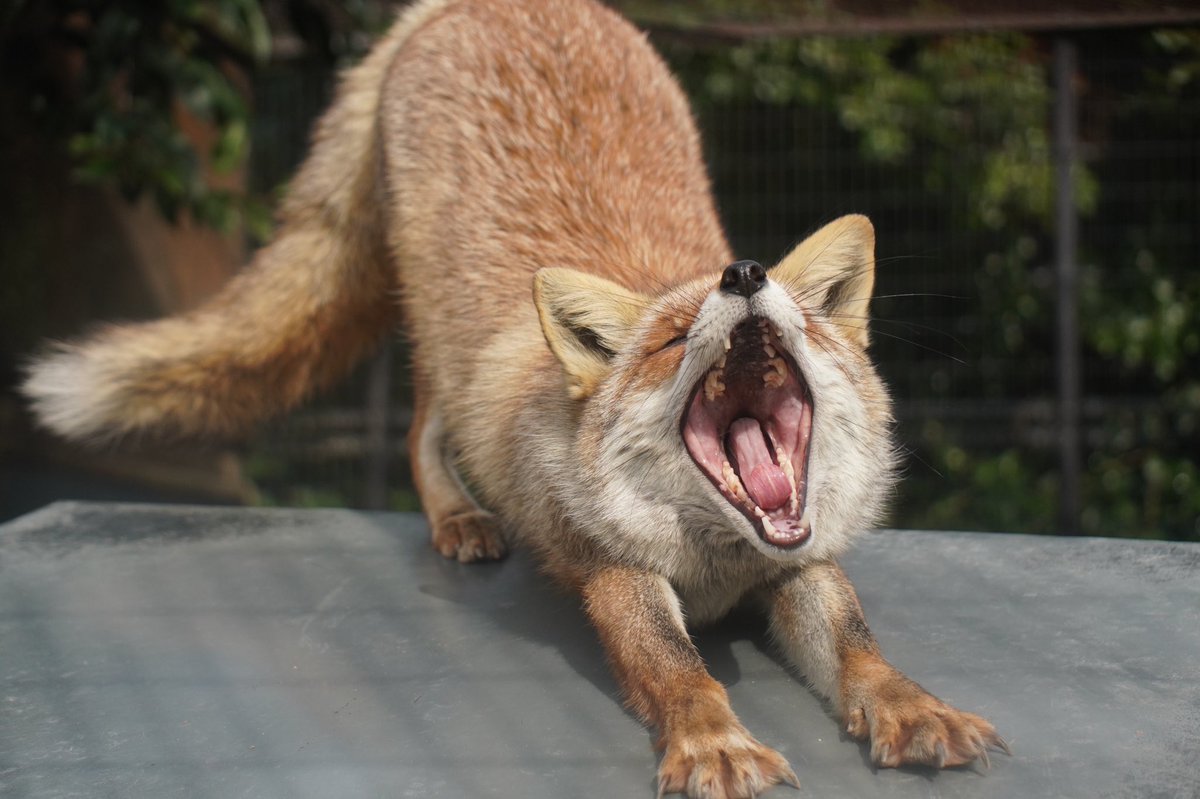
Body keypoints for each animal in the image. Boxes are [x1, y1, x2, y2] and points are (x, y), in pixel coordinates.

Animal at [22, 0, 1008, 795]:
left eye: (803, 316)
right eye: (667, 338)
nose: (745, 273)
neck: (718, 563)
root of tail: (485, 4)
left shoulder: (801, 559)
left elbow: (860, 647)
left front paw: (912, 705)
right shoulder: (613, 571)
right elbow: (681, 669)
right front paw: (713, 742)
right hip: (426, 316)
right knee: (422, 426)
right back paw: (457, 515)